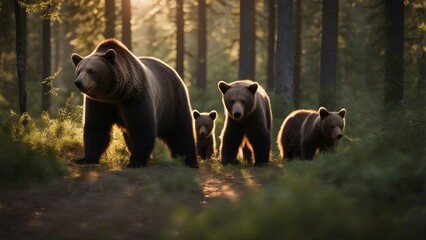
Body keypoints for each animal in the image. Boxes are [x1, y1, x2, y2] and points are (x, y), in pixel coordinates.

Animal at [71, 38, 198, 168]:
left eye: (91, 71)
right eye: (79, 71)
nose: (79, 82)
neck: (113, 95)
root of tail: (173, 71)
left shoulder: (135, 97)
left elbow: (142, 126)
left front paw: (136, 161)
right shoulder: (99, 102)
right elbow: (96, 126)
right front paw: (85, 159)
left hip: (173, 101)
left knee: (181, 131)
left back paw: (189, 161)